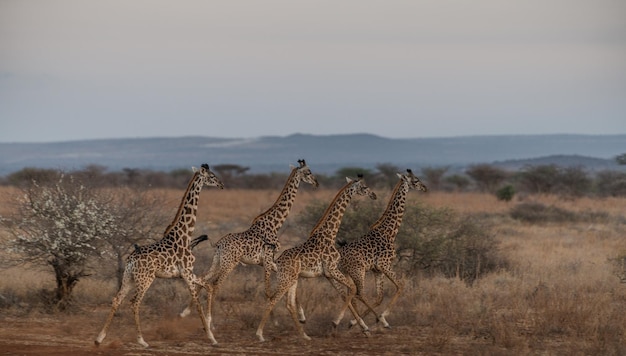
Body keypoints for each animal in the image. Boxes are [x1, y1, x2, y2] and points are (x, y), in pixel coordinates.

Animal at [94, 164, 223, 348]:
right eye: (211, 176)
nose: (221, 184)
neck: (185, 235)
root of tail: (131, 260)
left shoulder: (188, 273)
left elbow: (209, 287)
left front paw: (209, 325)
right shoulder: (186, 273)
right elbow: (197, 300)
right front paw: (211, 337)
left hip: (129, 278)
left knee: (117, 299)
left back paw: (99, 338)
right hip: (146, 279)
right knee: (134, 303)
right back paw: (142, 340)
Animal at [179, 159, 320, 340]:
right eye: (308, 172)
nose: (316, 183)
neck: (276, 224)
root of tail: (217, 244)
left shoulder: (269, 262)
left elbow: (279, 288)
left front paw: (302, 316)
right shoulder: (267, 260)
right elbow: (268, 291)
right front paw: (273, 323)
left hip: (218, 261)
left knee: (204, 278)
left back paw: (186, 312)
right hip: (229, 264)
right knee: (215, 285)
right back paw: (211, 324)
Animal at [256, 175, 378, 342]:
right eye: (364, 187)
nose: (374, 195)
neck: (330, 234)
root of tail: (278, 262)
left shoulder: (328, 273)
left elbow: (345, 293)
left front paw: (364, 328)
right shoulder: (332, 269)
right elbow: (352, 289)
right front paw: (337, 322)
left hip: (292, 279)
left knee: (288, 304)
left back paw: (304, 335)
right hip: (286, 279)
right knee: (273, 299)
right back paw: (260, 334)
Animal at [334, 169, 426, 328]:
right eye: (415, 180)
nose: (425, 188)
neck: (389, 232)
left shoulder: (377, 270)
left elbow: (379, 297)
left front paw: (359, 321)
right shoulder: (384, 264)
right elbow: (400, 285)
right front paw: (382, 317)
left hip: (348, 274)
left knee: (350, 294)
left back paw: (355, 322)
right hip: (358, 271)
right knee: (357, 294)